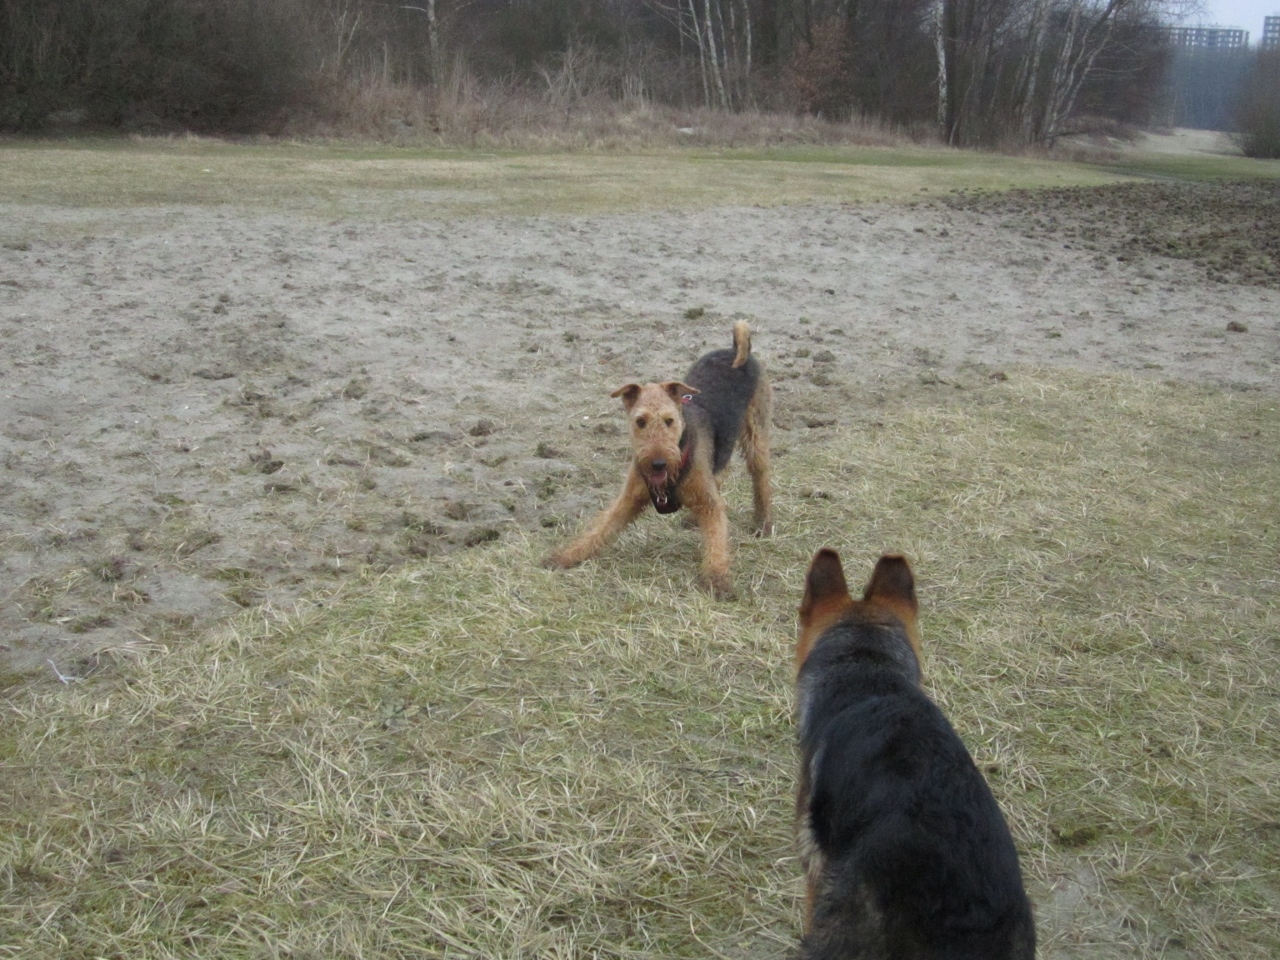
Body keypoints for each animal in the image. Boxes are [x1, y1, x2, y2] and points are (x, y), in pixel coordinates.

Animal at [545, 321, 772, 598]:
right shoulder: (628, 499)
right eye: (640, 421)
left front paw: (718, 582)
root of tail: (734, 350)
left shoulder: (709, 505)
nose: (658, 463)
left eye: (669, 420)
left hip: (755, 434)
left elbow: (716, 541)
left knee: (761, 477)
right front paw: (564, 556)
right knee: (722, 469)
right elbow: (600, 529)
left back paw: (763, 523)